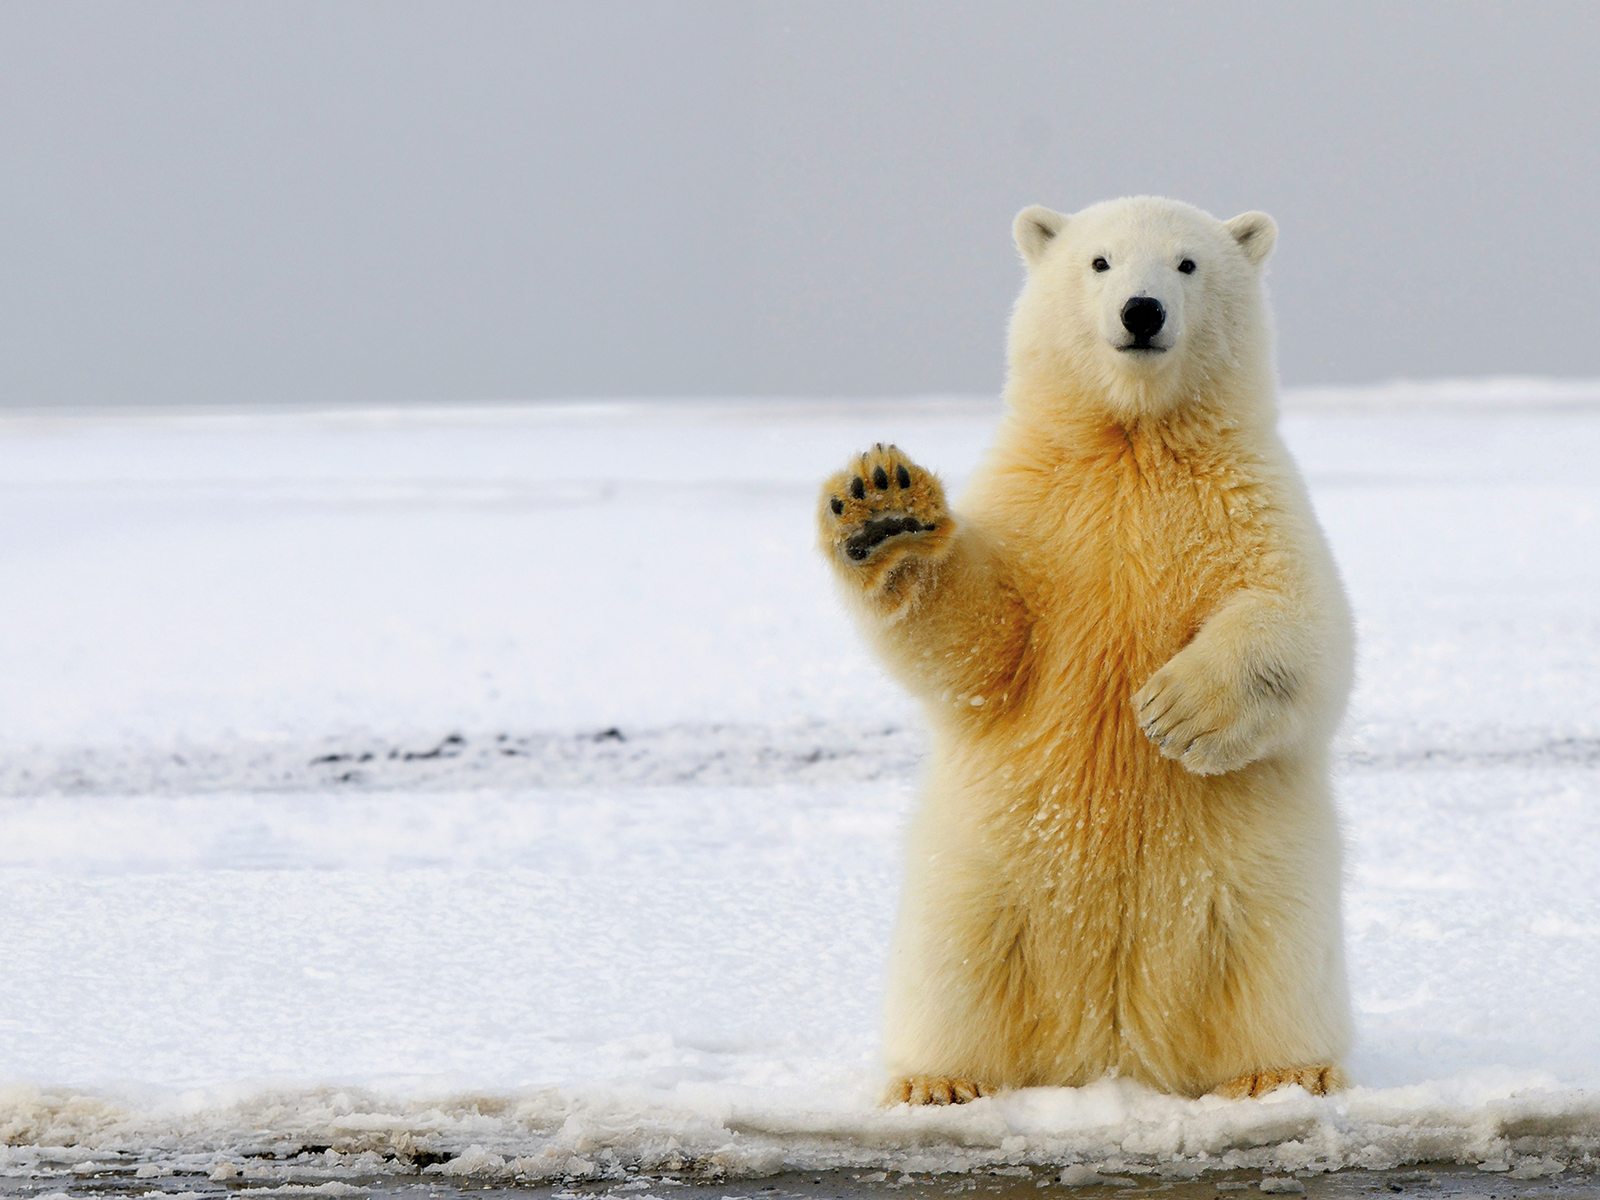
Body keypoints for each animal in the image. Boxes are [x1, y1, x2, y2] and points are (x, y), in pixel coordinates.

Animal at [817, 196, 1354, 1104]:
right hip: (981, 878)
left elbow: (1303, 623)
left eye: (1187, 263)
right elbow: (983, 644)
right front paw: (883, 509)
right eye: (1099, 261)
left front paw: (1176, 710)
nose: (1142, 312)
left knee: (1272, 965)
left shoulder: (1249, 498)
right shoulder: (1040, 508)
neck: (1131, 441)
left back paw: (1286, 1073)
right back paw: (938, 1082)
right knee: (956, 969)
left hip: (1259, 885)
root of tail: (1111, 1048)